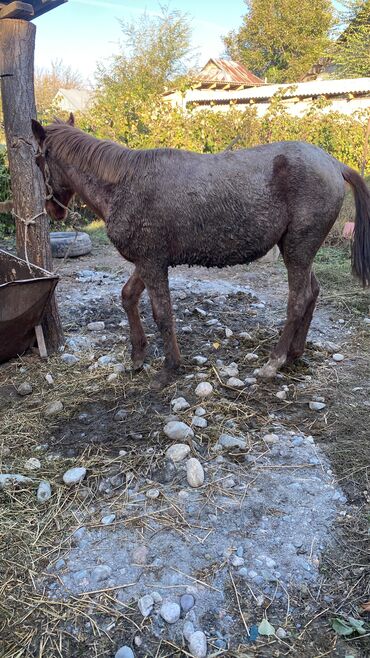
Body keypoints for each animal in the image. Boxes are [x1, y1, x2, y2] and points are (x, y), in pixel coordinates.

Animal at [31, 114, 370, 386]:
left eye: (38, 161)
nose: (53, 210)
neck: (123, 183)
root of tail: (334, 164)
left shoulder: (153, 263)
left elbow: (163, 313)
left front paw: (170, 367)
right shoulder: (146, 262)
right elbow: (128, 297)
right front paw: (138, 357)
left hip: (297, 250)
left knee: (298, 301)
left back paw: (274, 362)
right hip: (299, 251)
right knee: (312, 293)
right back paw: (294, 354)